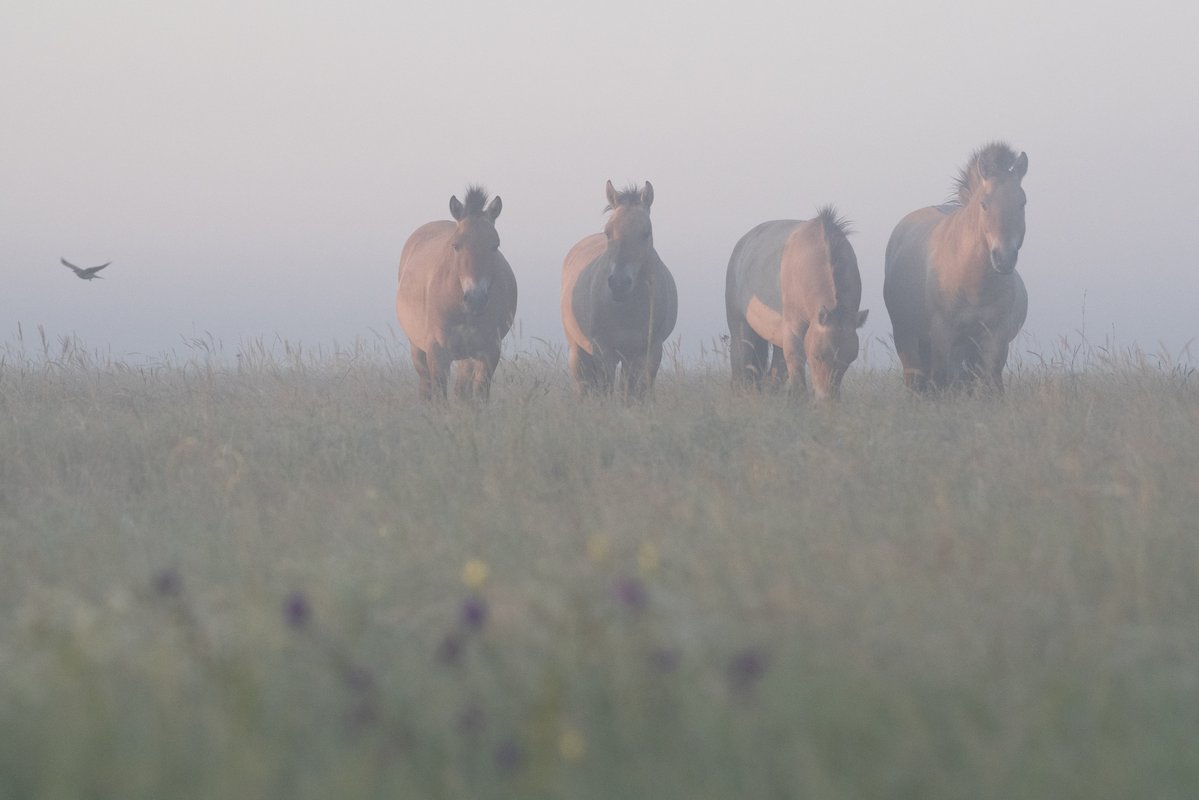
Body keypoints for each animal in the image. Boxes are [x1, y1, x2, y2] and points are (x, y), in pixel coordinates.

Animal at [398, 185, 520, 400]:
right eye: (456, 245)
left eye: (495, 245)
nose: (475, 300)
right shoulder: (437, 353)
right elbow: (439, 396)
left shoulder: (489, 353)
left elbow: (478, 396)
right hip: (417, 349)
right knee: (425, 385)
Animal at [558, 179, 676, 398]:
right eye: (608, 232)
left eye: (646, 233)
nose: (619, 284)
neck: (628, 310)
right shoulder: (604, 350)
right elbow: (606, 390)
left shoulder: (650, 352)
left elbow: (638, 392)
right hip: (578, 352)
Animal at [724, 206, 868, 400]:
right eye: (818, 356)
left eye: (849, 360)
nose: (828, 400)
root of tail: (742, 244)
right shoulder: (794, 331)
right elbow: (798, 378)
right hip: (741, 329)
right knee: (742, 370)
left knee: (772, 377)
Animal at [882, 144, 1031, 398]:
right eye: (984, 203)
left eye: (1022, 202)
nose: (1004, 258)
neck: (973, 285)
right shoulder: (942, 336)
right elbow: (942, 380)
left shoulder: (995, 338)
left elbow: (992, 385)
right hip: (908, 338)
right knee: (916, 378)